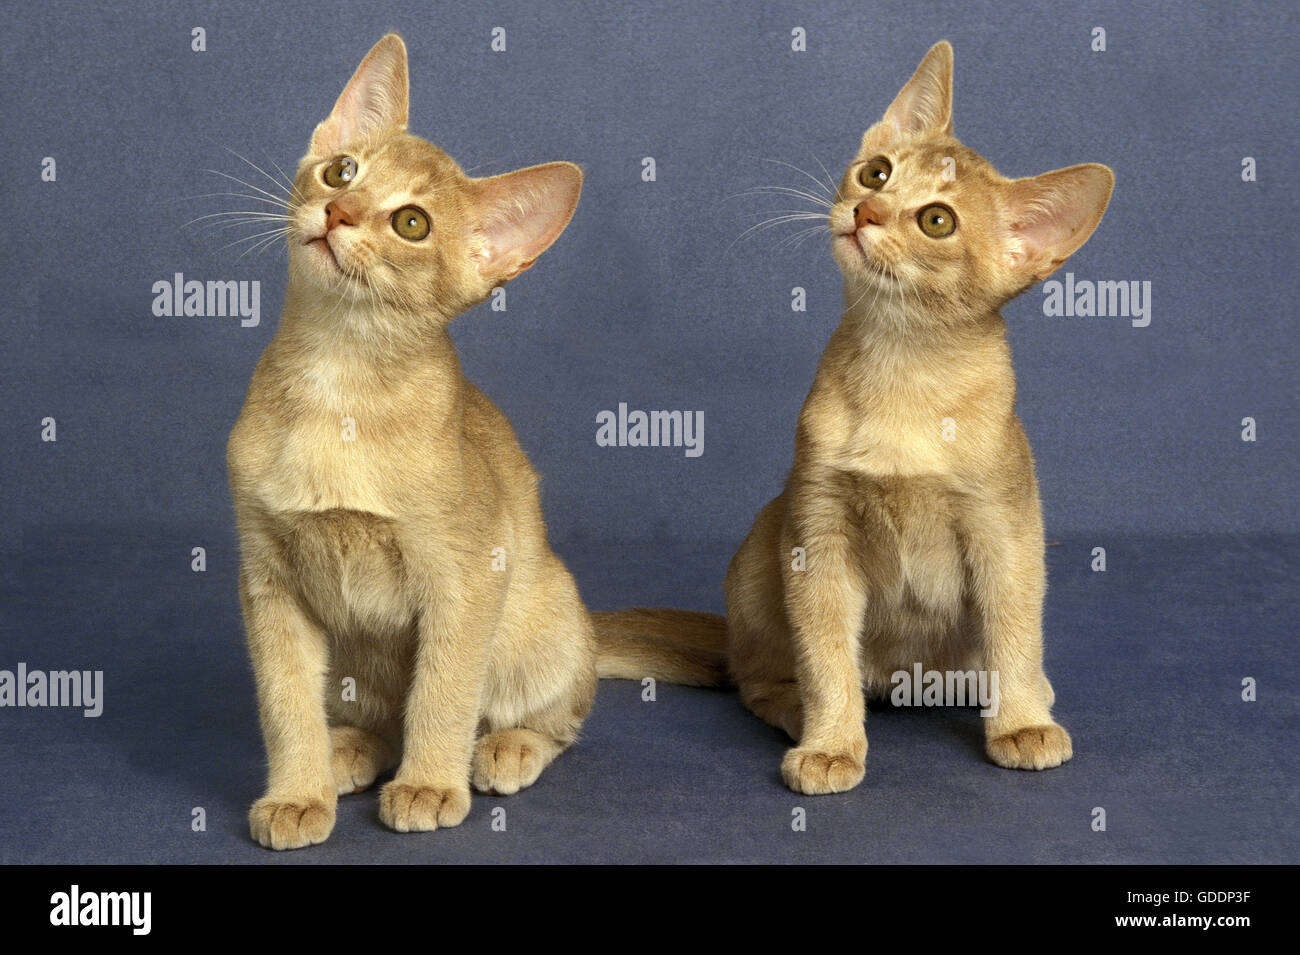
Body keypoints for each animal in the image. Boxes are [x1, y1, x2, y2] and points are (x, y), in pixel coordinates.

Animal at [228, 35, 598, 852]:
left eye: (411, 225)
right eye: (342, 170)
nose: (338, 210)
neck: (337, 387)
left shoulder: (464, 577)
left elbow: (442, 691)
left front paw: (430, 784)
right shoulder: (268, 577)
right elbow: (283, 704)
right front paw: (296, 793)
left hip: (542, 612)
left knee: (563, 713)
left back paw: (504, 748)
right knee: (371, 718)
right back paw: (347, 750)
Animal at [722, 41, 1118, 795]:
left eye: (937, 220)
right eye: (877, 171)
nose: (867, 210)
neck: (902, 372)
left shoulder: (1006, 528)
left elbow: (1016, 629)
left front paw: (1021, 725)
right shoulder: (816, 532)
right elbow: (824, 654)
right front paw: (831, 743)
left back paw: (1031, 694)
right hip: (762, 545)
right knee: (753, 676)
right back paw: (794, 709)